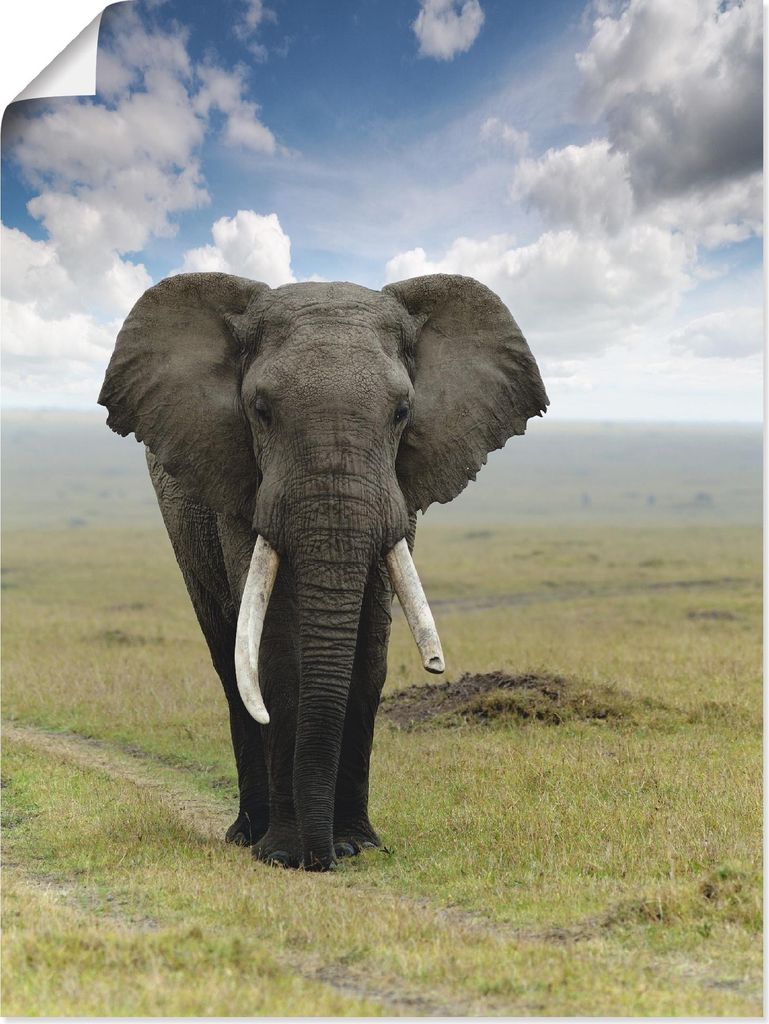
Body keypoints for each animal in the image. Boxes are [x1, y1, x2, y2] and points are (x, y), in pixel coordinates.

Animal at [98, 272, 548, 871]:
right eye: (261, 410)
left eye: (402, 413)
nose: (323, 858)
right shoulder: (240, 484)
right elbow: (274, 648)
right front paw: (283, 854)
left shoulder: (400, 492)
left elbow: (370, 649)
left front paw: (359, 844)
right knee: (229, 661)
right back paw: (247, 834)